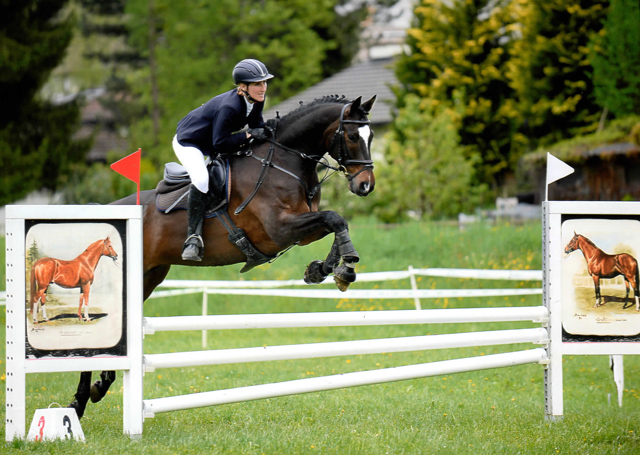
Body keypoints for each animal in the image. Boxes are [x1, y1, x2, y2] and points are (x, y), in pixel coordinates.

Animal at [66, 93, 376, 420]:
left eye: (371, 136)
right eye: (352, 136)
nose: (365, 185)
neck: (284, 162)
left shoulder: (301, 230)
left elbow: (335, 221)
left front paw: (326, 270)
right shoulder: (278, 229)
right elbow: (334, 217)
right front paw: (346, 266)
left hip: (149, 275)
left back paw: (98, 386)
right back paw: (80, 401)